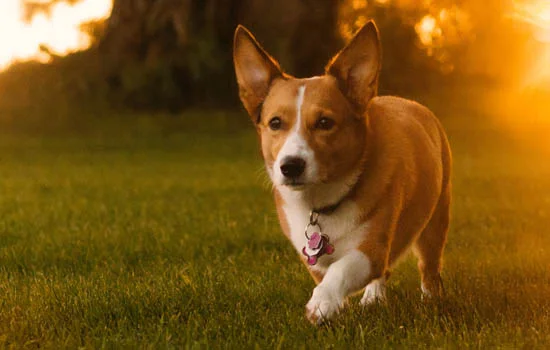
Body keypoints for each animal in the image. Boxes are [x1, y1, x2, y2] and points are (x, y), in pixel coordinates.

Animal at [233, 20, 452, 324]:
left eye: (325, 122)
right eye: (275, 123)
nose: (290, 166)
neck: (322, 204)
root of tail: (409, 102)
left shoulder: (371, 250)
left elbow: (342, 270)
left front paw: (322, 303)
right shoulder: (312, 257)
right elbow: (327, 273)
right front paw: (337, 305)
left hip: (435, 221)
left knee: (428, 265)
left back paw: (431, 299)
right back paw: (374, 297)